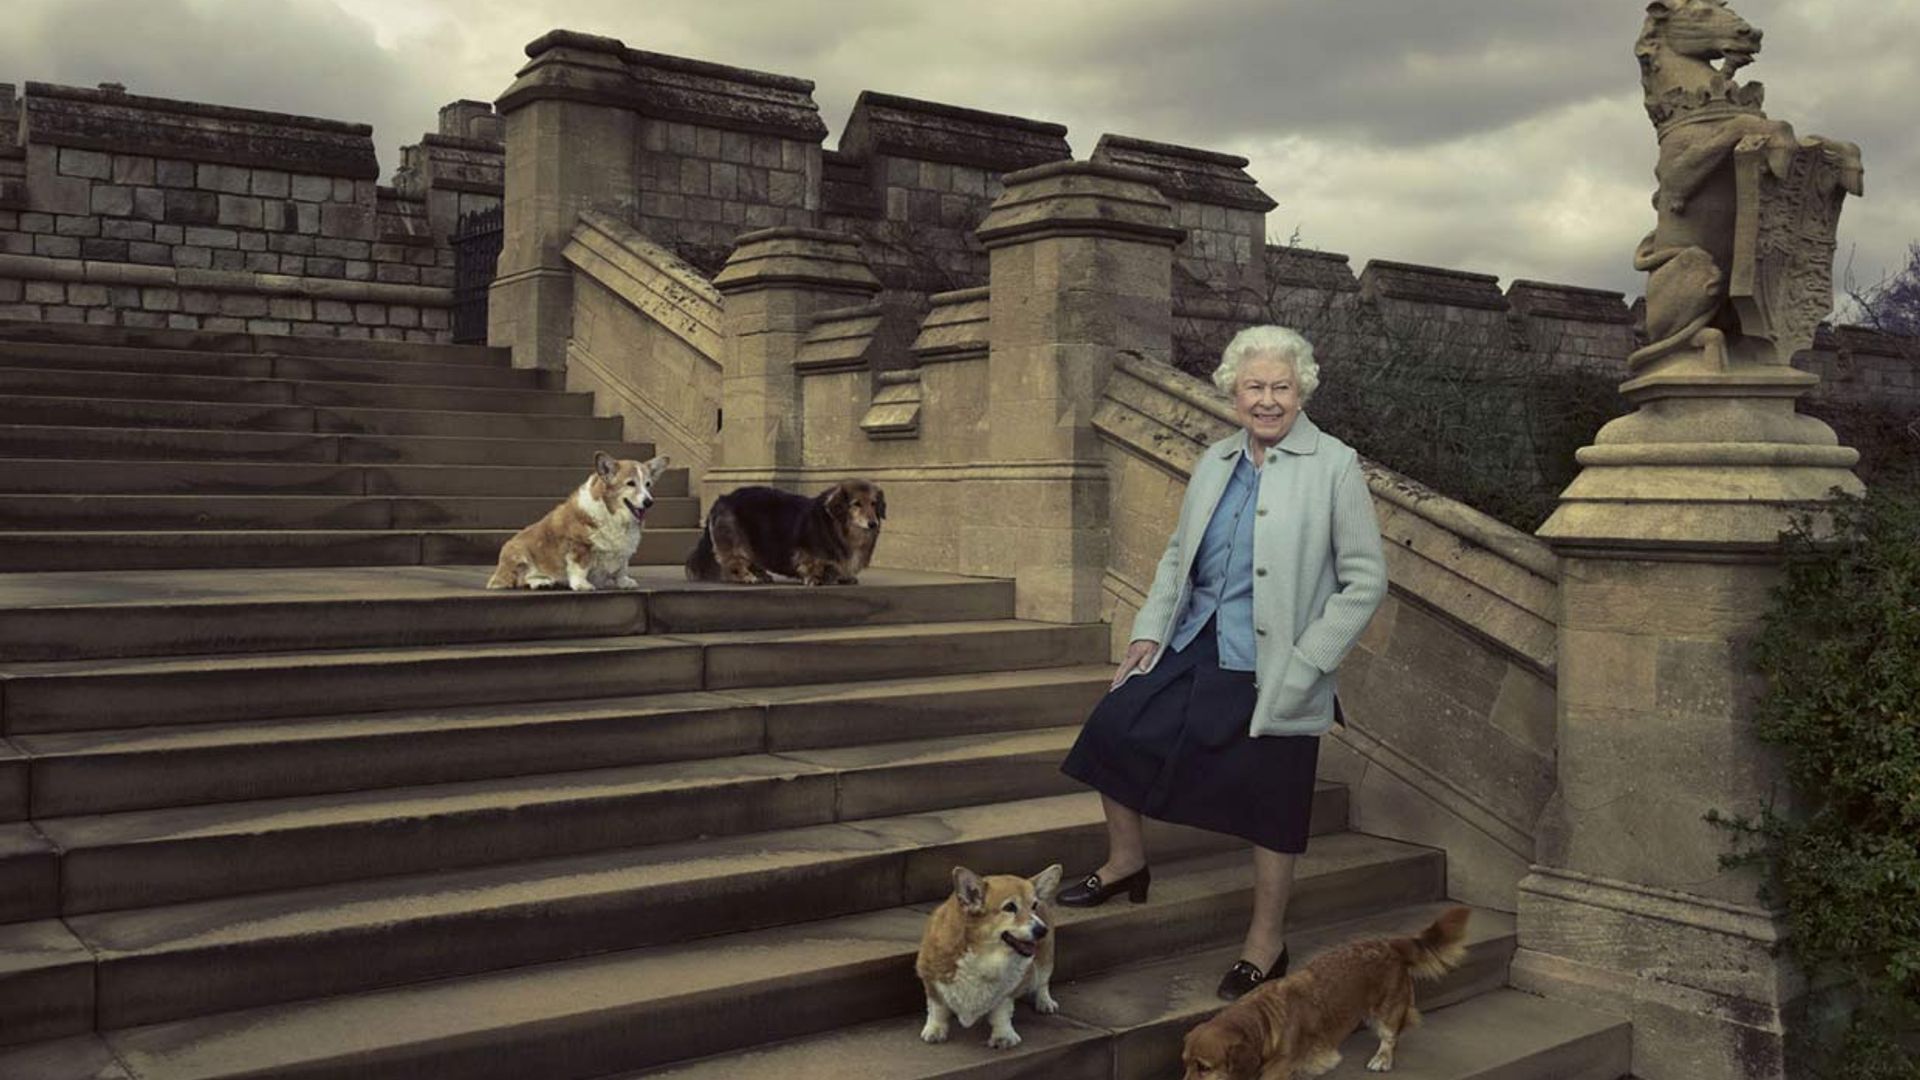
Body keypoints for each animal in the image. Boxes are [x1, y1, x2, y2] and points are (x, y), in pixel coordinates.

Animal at [483, 451, 672, 591]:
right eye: (630, 483)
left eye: (648, 484)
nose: (649, 502)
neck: (612, 514)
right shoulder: (579, 546)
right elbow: (579, 567)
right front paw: (582, 585)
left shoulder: (624, 551)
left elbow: (622, 567)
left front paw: (624, 581)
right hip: (517, 551)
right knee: (521, 579)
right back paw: (541, 582)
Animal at [913, 860, 1067, 1045]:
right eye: (1010, 907)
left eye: (1033, 906)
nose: (1042, 930)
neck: (985, 954)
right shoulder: (931, 980)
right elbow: (937, 1008)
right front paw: (935, 1030)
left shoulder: (1007, 992)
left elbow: (1002, 1013)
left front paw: (1004, 1036)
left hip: (1045, 959)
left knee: (1043, 982)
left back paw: (1045, 1002)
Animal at [1167, 903, 1466, 1068]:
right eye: (1185, 1065)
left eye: (1204, 1068)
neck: (1262, 1018)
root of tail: (1390, 944)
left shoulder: (1288, 1059)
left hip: (1386, 1011)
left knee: (1391, 1036)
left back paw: (1382, 1058)